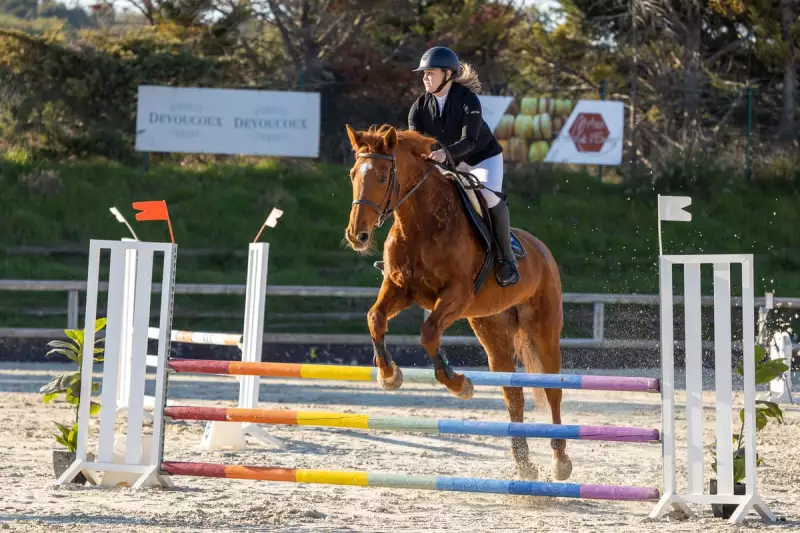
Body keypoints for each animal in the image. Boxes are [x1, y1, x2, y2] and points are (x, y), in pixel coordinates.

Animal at [340, 122, 572, 480]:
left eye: (381, 176)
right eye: (353, 174)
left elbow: (428, 333)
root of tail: (543, 250)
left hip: (543, 331)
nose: (357, 235)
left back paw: (560, 460)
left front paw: (458, 383)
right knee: (513, 394)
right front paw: (389, 375)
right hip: (492, 330)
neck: (419, 224)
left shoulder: (457, 296)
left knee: (552, 389)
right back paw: (524, 464)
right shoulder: (400, 289)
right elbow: (375, 318)